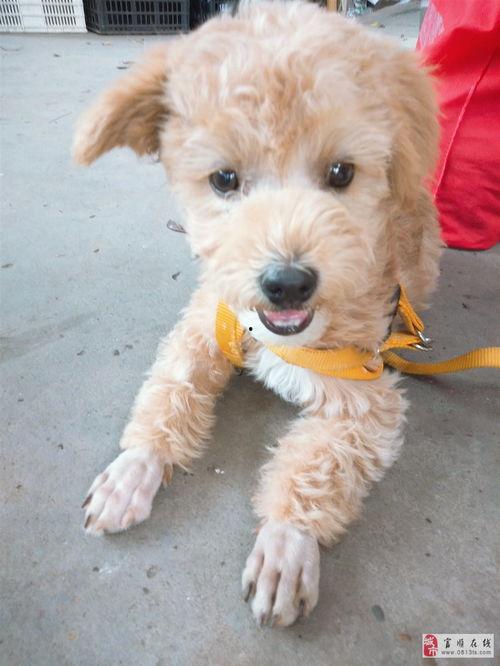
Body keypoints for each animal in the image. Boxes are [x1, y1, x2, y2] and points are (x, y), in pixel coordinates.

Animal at [74, 0, 441, 627]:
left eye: (342, 173)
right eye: (225, 179)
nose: (287, 284)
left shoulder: (368, 398)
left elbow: (317, 462)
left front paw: (287, 544)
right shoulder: (206, 320)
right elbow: (171, 386)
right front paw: (135, 467)